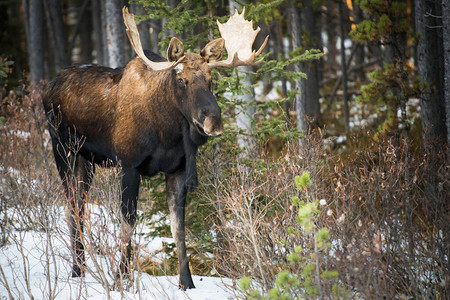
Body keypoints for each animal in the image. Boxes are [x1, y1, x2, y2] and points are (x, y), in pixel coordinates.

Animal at [42, 6, 268, 288]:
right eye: (181, 80)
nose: (213, 121)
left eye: (210, 79)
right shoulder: (129, 165)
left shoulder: (178, 170)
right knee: (71, 204)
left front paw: (187, 283)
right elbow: (128, 222)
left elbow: (178, 228)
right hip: (62, 149)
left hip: (87, 160)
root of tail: (48, 87)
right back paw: (76, 270)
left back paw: (81, 267)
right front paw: (121, 278)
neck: (167, 133)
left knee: (80, 205)